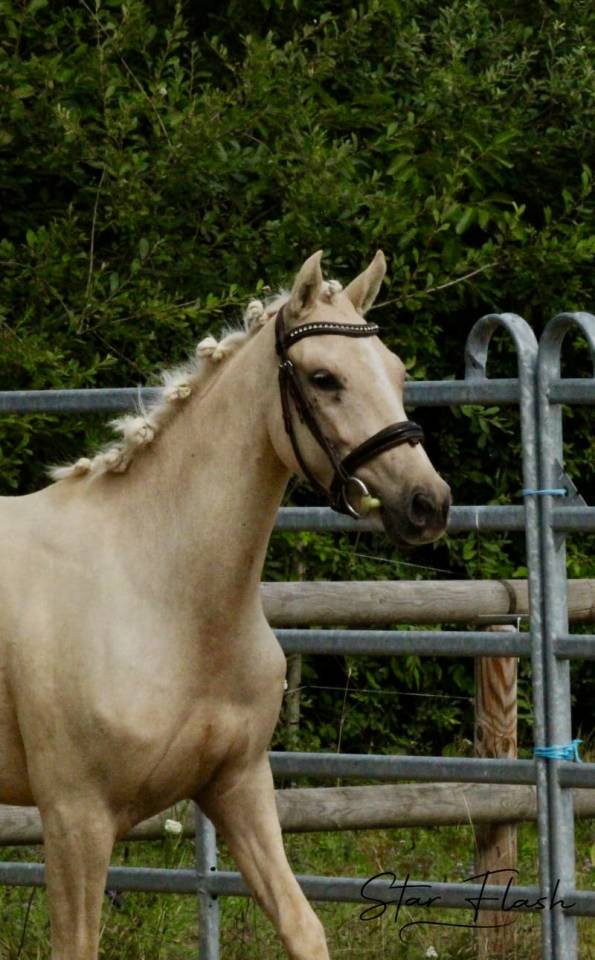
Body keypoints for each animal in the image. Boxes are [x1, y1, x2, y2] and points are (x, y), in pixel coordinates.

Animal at [0, 250, 450, 959]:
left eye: (398, 371)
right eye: (324, 378)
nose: (428, 503)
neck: (162, 591)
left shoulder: (238, 785)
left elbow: (303, 925)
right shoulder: (76, 817)